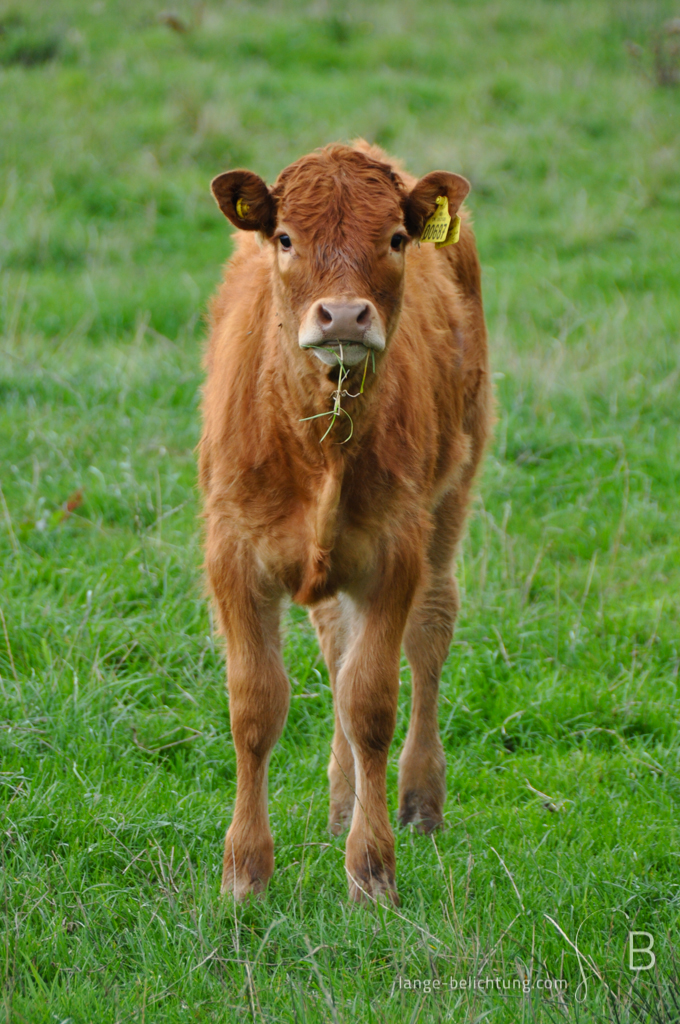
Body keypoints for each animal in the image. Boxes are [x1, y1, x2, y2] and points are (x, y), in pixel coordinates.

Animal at [199, 140, 491, 901]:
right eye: (285, 238)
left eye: (394, 239)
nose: (342, 317)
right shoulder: (232, 552)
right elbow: (255, 705)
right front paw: (244, 871)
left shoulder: (394, 552)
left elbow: (371, 704)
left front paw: (372, 871)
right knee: (336, 644)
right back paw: (340, 801)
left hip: (450, 499)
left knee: (431, 629)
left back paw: (417, 799)